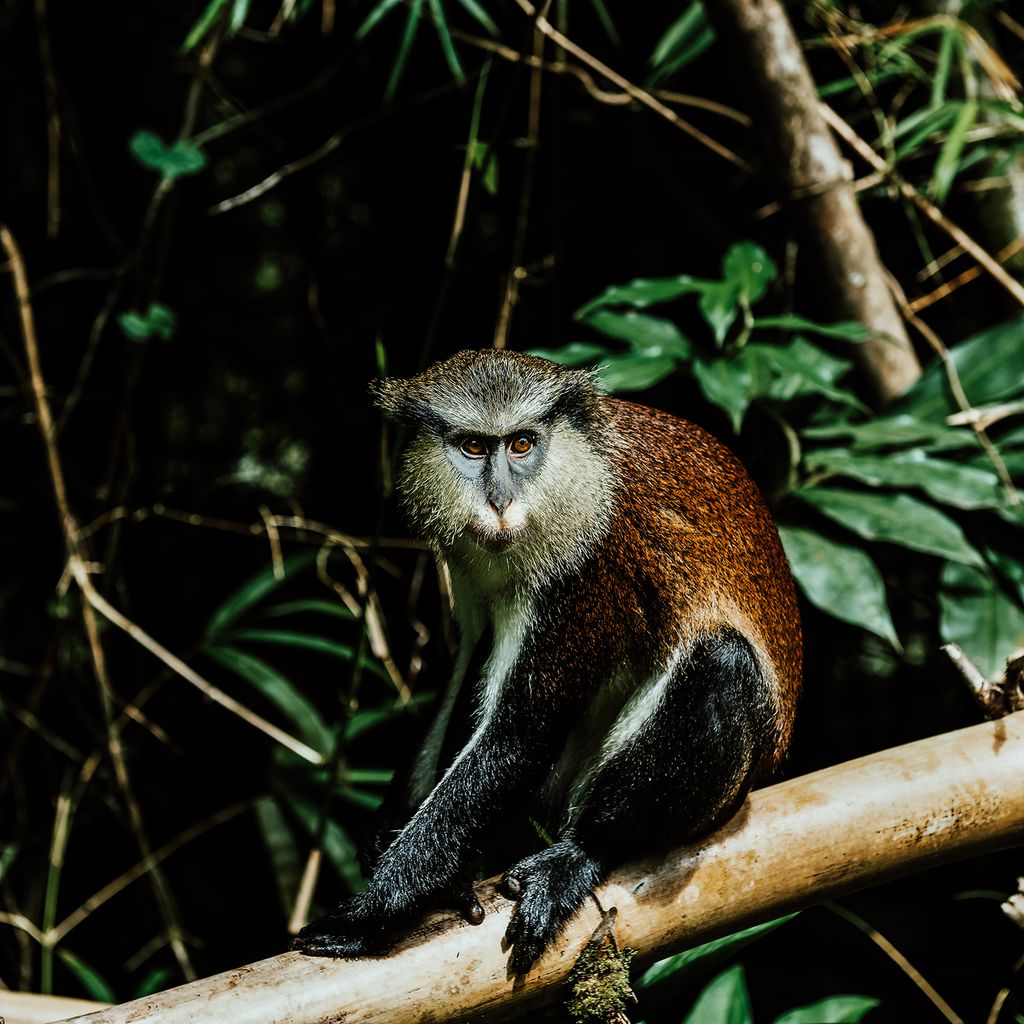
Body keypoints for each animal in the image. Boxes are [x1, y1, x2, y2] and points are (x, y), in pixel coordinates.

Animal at [294, 348, 801, 975]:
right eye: (473, 447)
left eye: (520, 445)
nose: (499, 502)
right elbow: (468, 661)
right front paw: (387, 830)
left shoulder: (589, 567)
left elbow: (521, 733)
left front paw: (368, 916)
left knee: (722, 663)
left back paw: (579, 855)